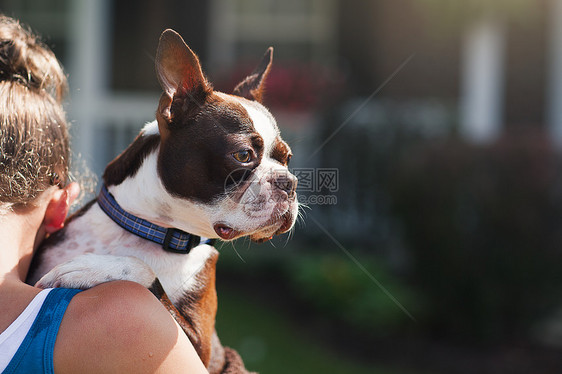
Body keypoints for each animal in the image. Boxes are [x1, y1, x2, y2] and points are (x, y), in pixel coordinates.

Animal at [27, 29, 298, 374]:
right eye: (243, 155)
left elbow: (144, 271)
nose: (289, 182)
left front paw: (91, 268)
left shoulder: (202, 347)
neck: (152, 230)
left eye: (287, 159)